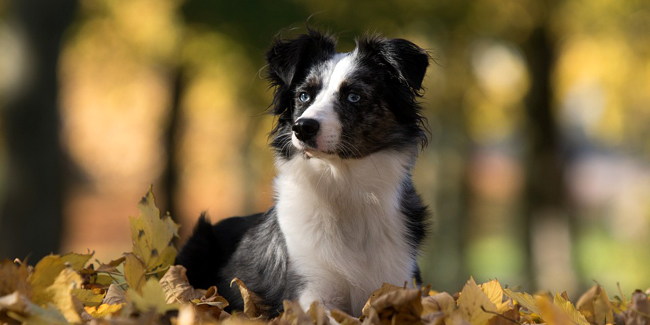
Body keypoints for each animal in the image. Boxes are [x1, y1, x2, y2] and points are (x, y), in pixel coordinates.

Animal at [176, 29, 430, 316]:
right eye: (304, 97)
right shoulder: (310, 292)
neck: (343, 184)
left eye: (354, 96)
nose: (302, 128)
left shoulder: (400, 285)